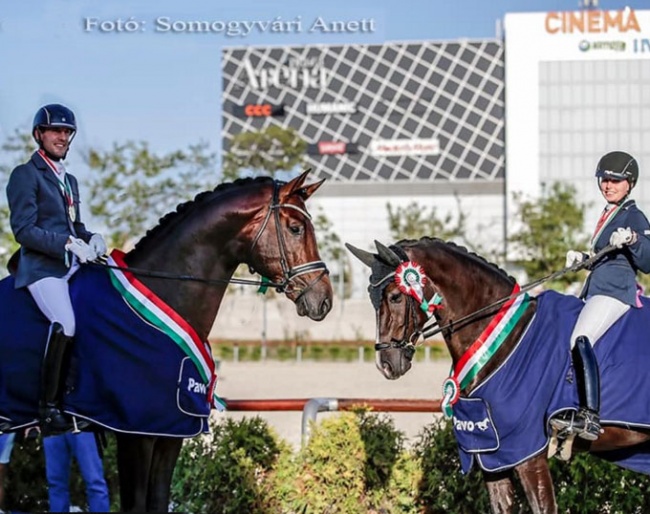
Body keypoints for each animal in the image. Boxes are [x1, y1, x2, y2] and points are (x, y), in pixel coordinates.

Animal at [346, 238, 648, 512]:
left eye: (395, 296)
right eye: (373, 299)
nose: (385, 364)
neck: (504, 337)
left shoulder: (526, 451)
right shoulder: (491, 453)